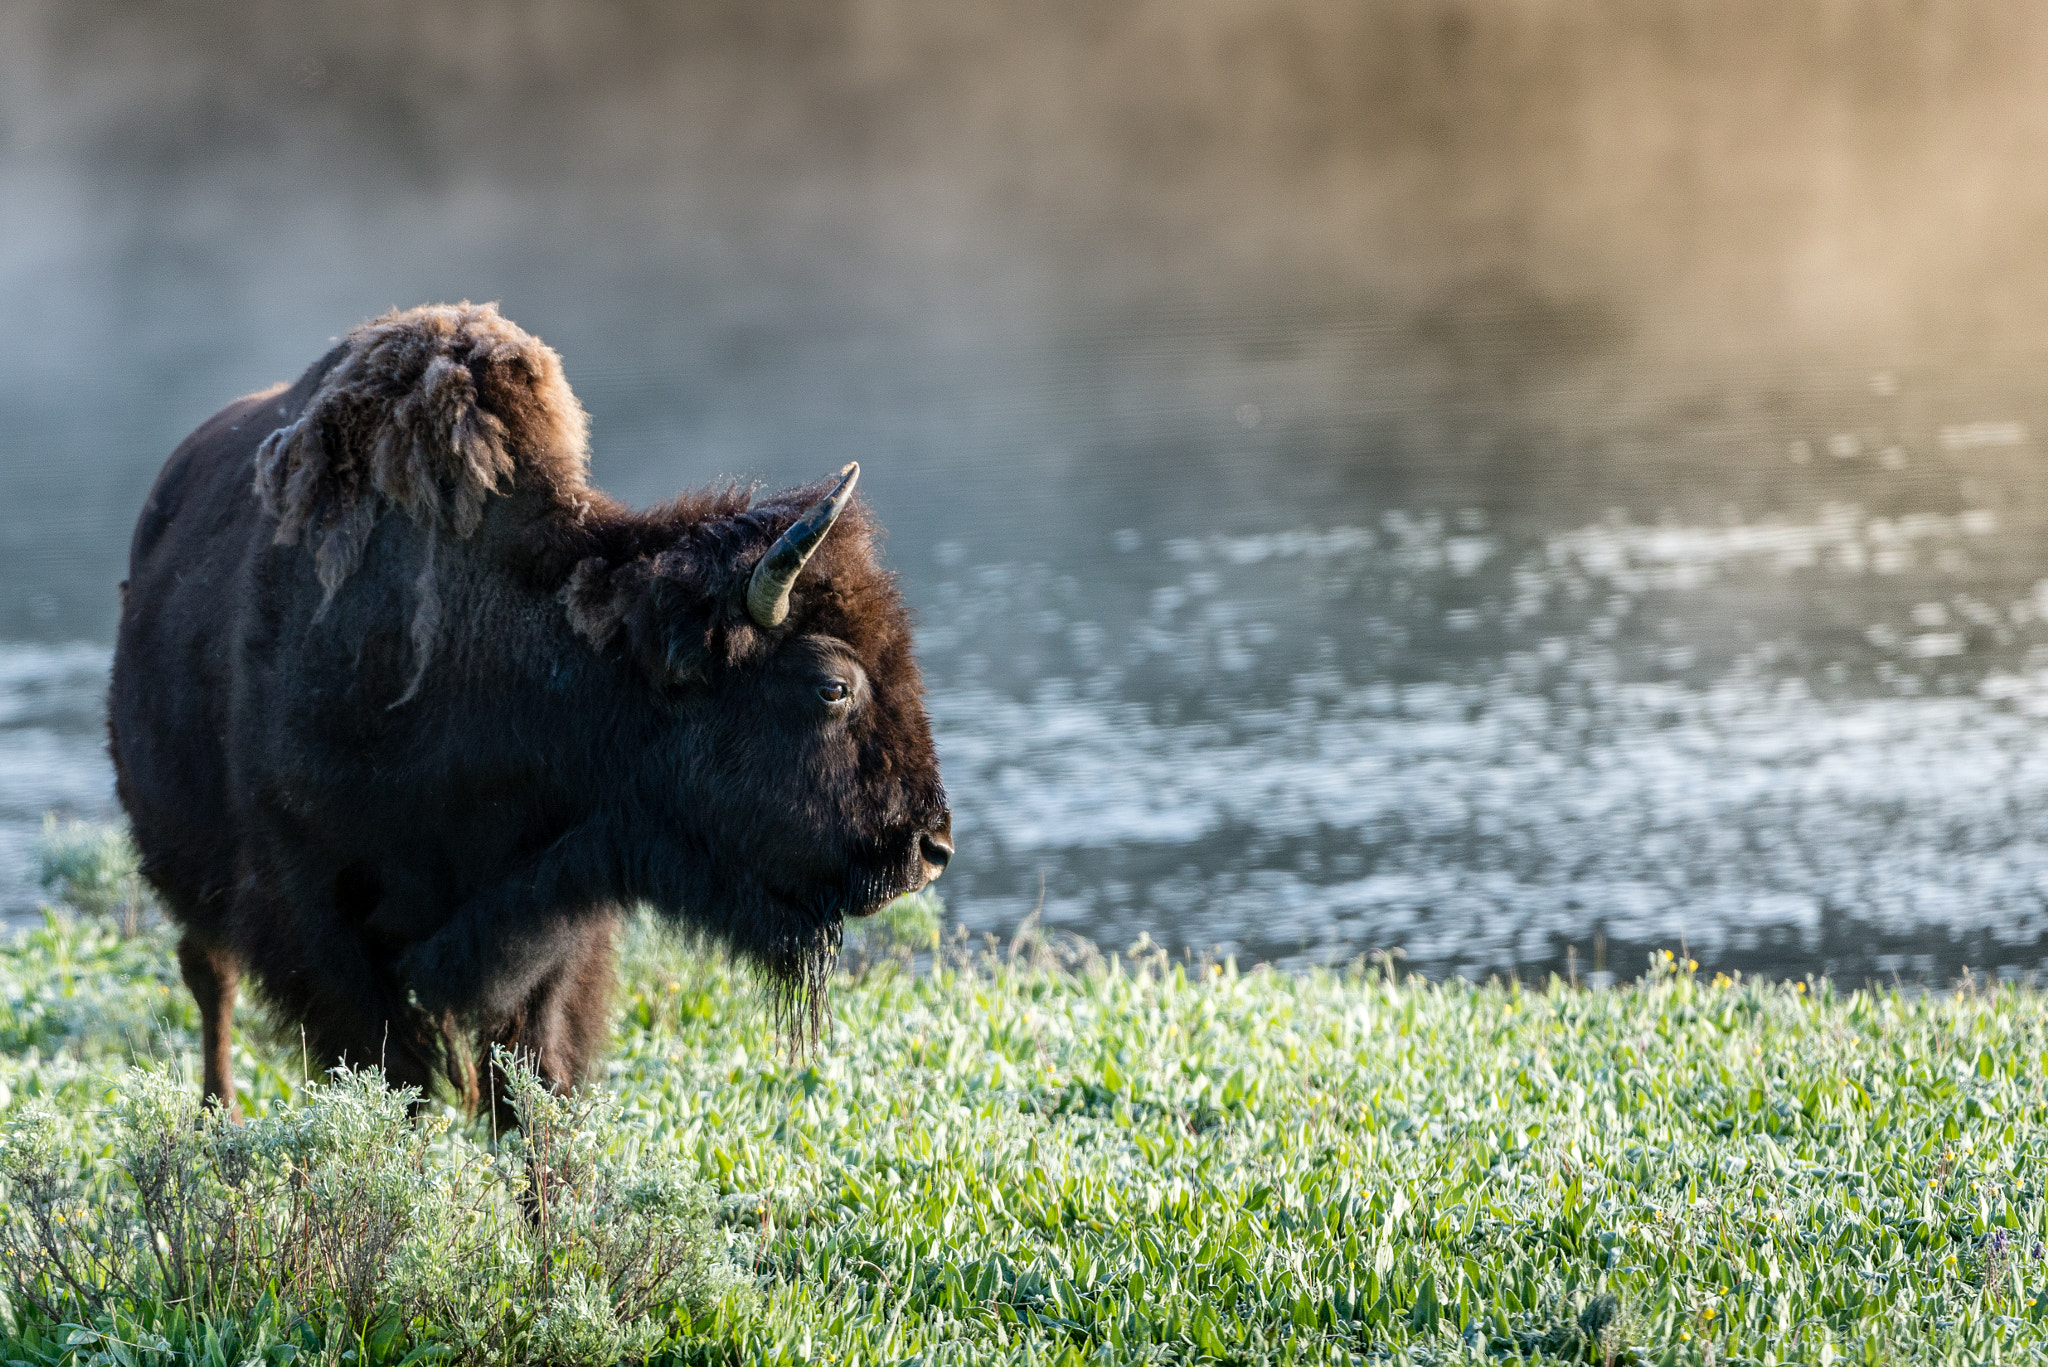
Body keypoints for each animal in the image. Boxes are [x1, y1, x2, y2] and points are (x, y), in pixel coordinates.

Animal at [109, 302, 952, 1123]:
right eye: (832, 686)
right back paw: (216, 1117)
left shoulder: (552, 933)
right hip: (187, 870)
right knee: (209, 975)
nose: (930, 846)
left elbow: (529, 1088)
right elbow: (398, 1081)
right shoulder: (323, 929)